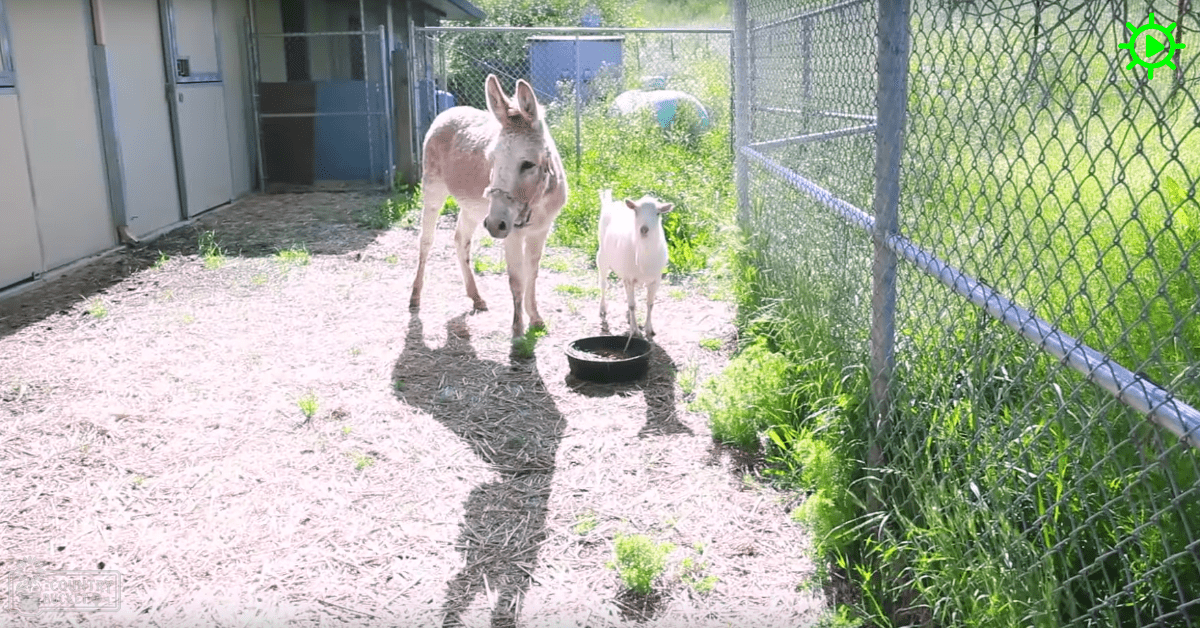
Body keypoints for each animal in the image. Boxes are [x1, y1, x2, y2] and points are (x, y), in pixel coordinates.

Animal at [596, 189, 674, 339]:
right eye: (636, 211)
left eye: (658, 213)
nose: (644, 229)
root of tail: (611, 203)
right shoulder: (629, 278)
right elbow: (632, 305)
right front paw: (635, 330)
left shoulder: (655, 279)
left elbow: (650, 304)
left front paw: (649, 328)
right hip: (602, 258)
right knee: (603, 284)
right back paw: (602, 308)